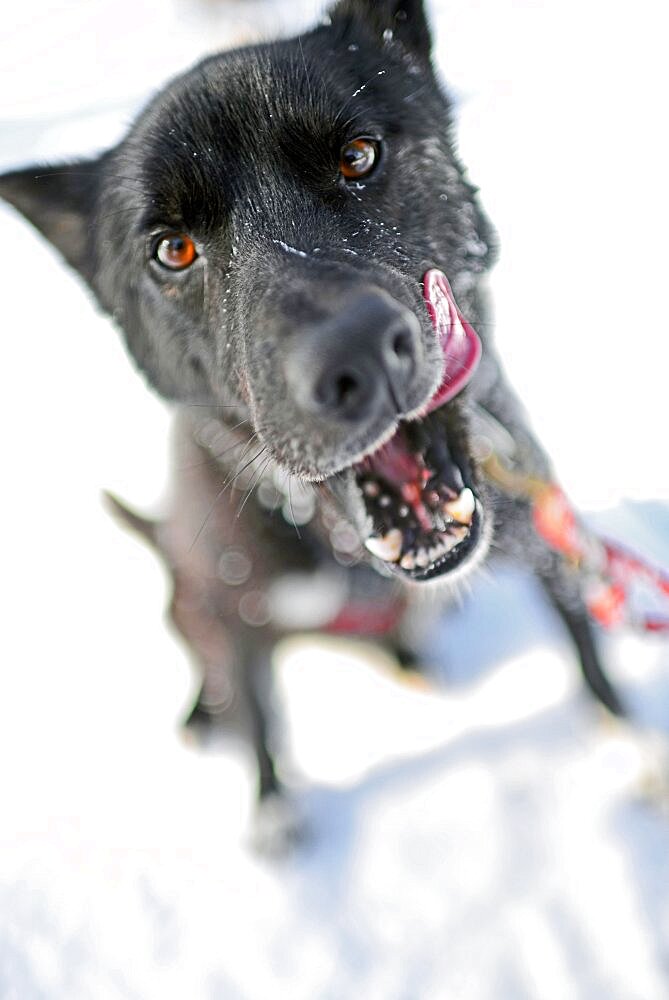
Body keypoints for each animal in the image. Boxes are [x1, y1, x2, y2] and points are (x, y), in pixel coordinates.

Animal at [0, 0, 628, 852]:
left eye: (358, 156)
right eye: (173, 249)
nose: (358, 354)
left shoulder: (545, 537)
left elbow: (584, 643)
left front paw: (621, 724)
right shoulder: (232, 613)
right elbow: (261, 721)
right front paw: (274, 815)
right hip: (189, 599)